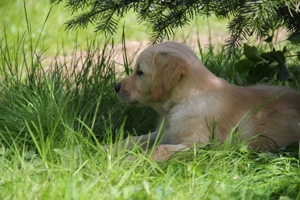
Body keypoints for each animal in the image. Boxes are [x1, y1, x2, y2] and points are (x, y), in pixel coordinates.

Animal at [113, 41, 300, 162]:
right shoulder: (166, 133)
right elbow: (133, 140)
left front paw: (126, 162)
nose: (115, 87)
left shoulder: (204, 146)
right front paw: (108, 150)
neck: (188, 97)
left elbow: (160, 150)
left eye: (140, 72)